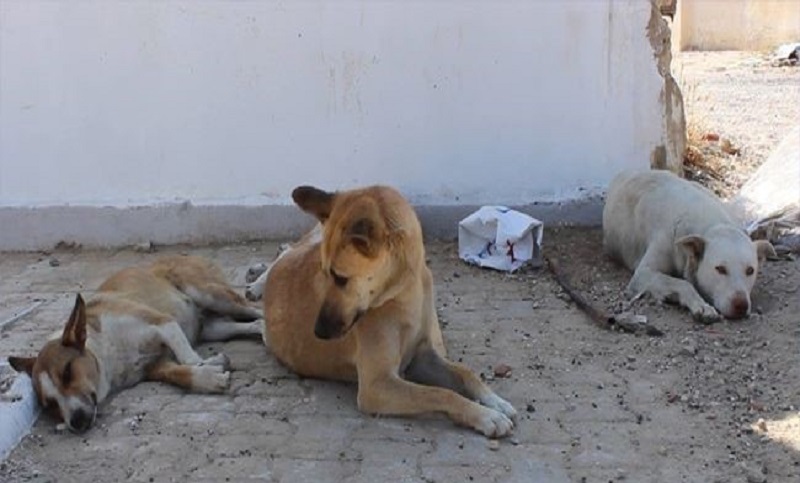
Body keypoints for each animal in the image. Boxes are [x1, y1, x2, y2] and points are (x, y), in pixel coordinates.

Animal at [7, 258, 262, 434]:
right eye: (50, 404)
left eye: (67, 372)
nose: (76, 422)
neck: (109, 355)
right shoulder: (155, 366)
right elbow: (179, 374)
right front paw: (208, 374)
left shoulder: (163, 323)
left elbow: (188, 358)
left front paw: (207, 364)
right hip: (213, 327)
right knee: (255, 324)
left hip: (212, 295)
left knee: (257, 311)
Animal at [256, 185, 520, 438]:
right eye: (325, 273)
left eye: (340, 278)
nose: (318, 332)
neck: (404, 292)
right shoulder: (376, 386)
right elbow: (439, 393)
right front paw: (486, 416)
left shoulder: (420, 357)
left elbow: (466, 373)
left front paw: (495, 402)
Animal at [608, 172, 776, 324]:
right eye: (720, 269)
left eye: (750, 270)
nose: (741, 305)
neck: (712, 226)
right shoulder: (643, 274)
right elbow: (683, 283)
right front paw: (701, 305)